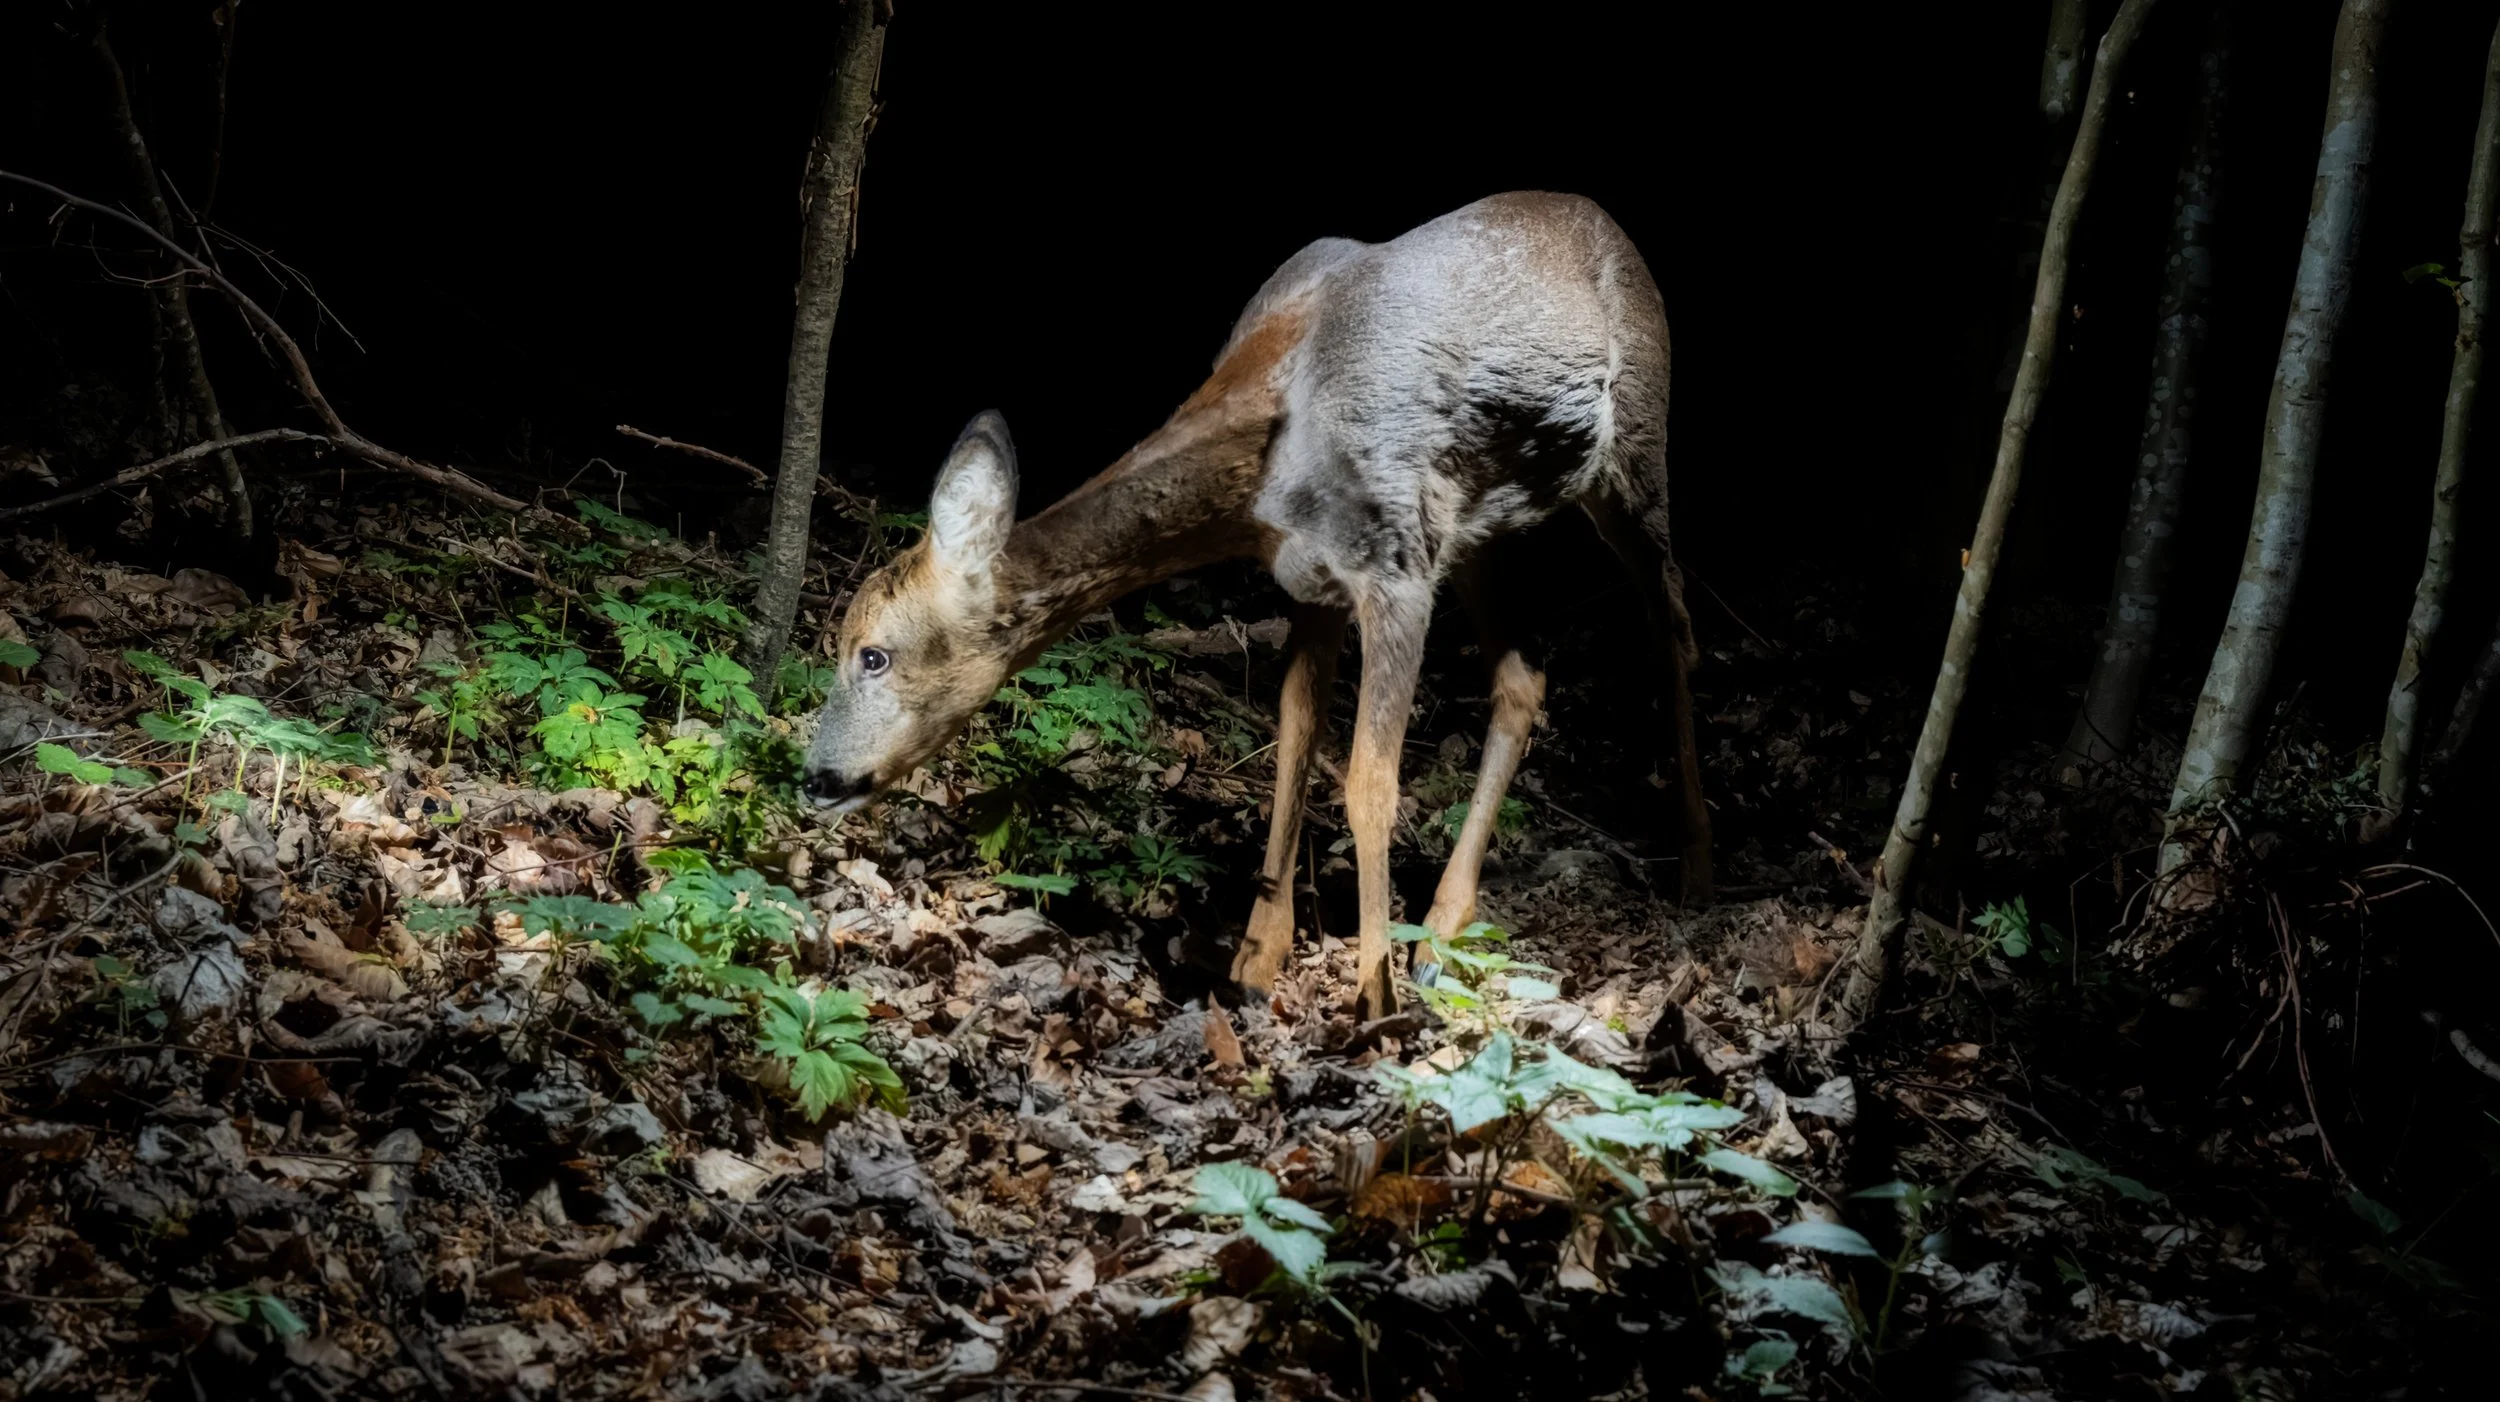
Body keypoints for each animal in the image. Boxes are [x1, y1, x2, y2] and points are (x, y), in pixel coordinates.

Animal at [800, 191, 1711, 1020]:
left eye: (873, 653)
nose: (816, 778)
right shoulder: (1315, 579)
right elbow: (1295, 738)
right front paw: (1256, 960)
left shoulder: (1396, 568)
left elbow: (1370, 779)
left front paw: (1373, 998)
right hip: (1477, 528)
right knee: (1524, 679)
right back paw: (1445, 927)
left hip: (1634, 448)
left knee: (1675, 621)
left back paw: (1698, 866)